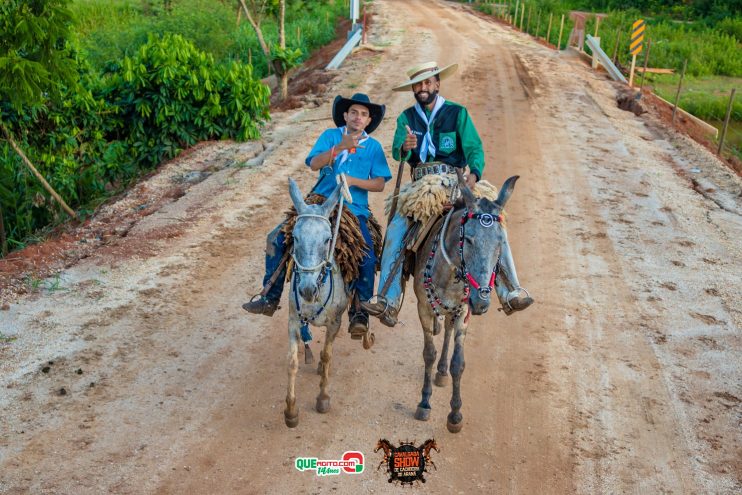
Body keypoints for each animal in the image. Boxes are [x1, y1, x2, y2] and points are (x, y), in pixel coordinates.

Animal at [288, 180, 352, 428]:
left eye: (327, 239)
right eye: (295, 237)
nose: (306, 289)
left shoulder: (335, 323)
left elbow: (326, 356)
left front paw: (323, 398)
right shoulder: (293, 322)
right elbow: (293, 362)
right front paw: (290, 411)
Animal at [412, 175, 524, 434]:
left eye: (500, 243)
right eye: (469, 240)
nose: (481, 301)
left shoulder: (463, 312)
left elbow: (458, 363)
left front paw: (455, 415)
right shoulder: (423, 307)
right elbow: (428, 354)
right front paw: (424, 403)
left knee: (447, 331)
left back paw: (442, 372)